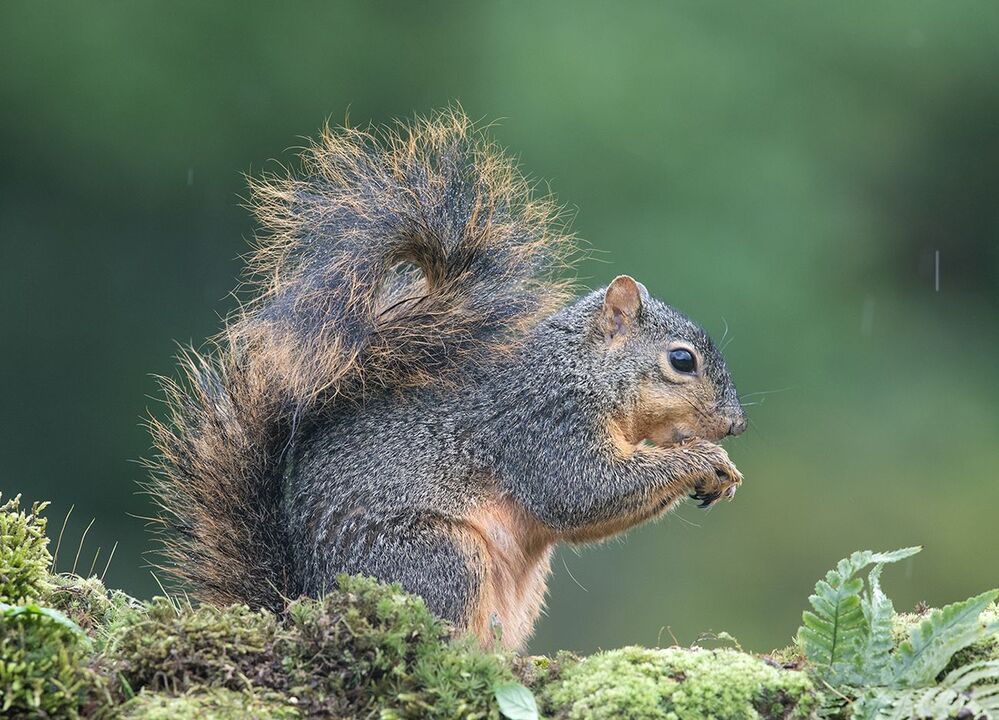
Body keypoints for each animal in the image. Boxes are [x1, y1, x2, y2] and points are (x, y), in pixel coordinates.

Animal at [147, 109, 747, 650]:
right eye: (682, 361)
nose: (736, 425)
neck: (582, 367)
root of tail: (303, 606)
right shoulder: (544, 422)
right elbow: (581, 491)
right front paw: (703, 460)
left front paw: (723, 472)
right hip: (438, 559)